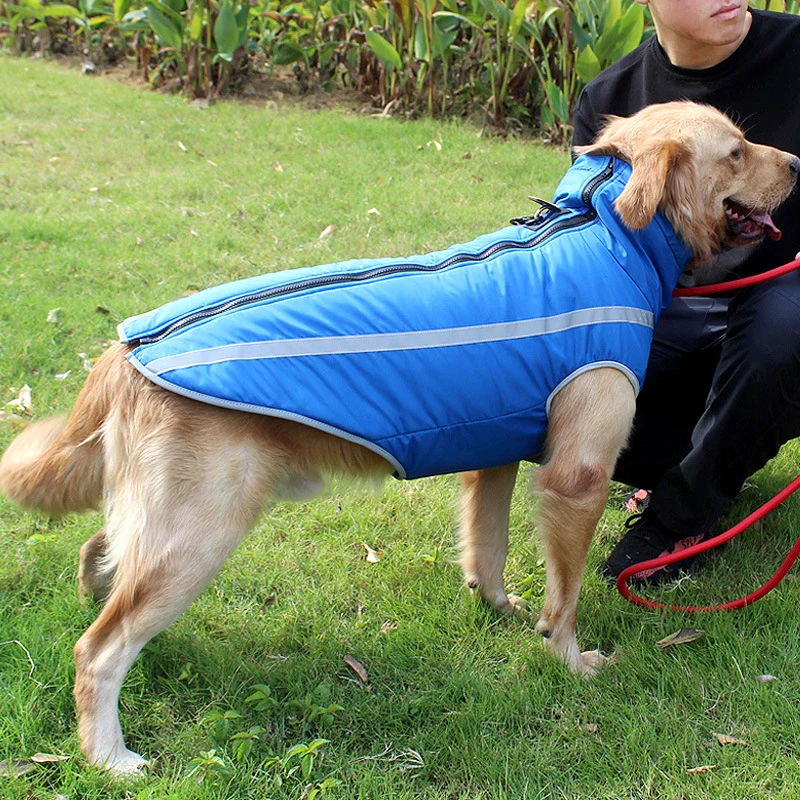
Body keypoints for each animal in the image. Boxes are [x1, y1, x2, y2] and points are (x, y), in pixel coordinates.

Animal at [0, 101, 796, 776]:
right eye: (735, 150)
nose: (794, 161)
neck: (600, 228)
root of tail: (125, 347)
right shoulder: (577, 476)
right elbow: (564, 599)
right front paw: (570, 659)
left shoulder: (495, 455)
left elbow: (488, 548)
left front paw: (499, 610)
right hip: (200, 530)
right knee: (97, 650)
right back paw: (110, 755)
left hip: (164, 521)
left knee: (99, 558)